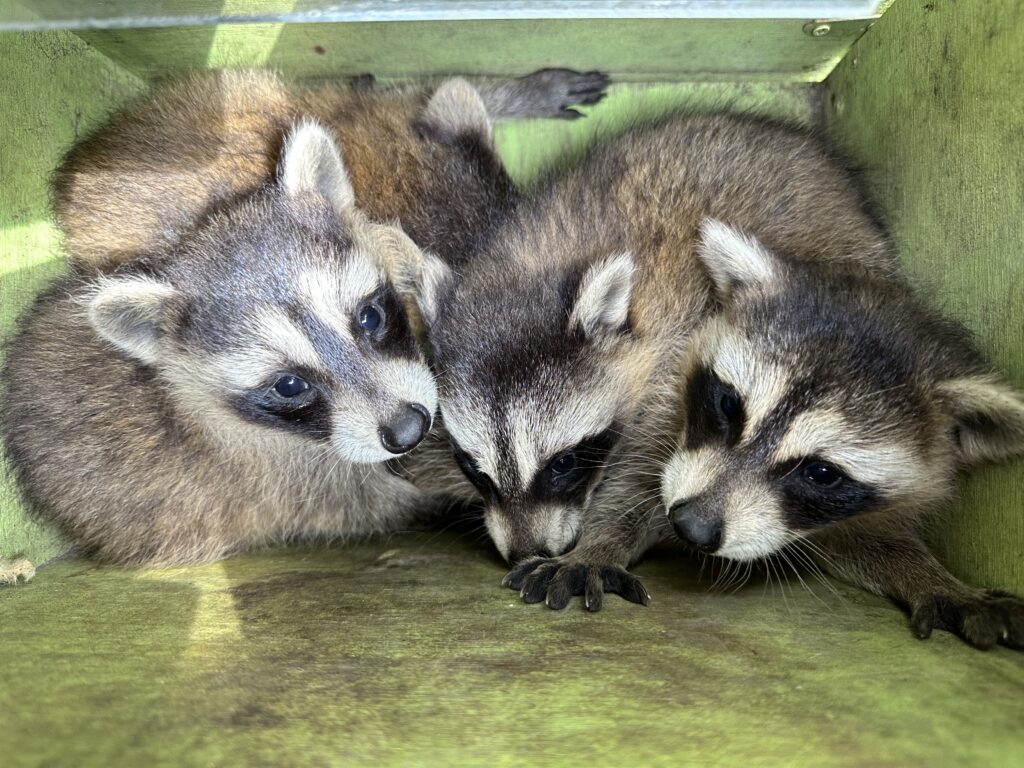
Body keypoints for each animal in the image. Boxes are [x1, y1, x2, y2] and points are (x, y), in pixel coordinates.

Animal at [3, 124, 444, 565]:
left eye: (369, 317)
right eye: (288, 385)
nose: (408, 430)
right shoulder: (288, 482)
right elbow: (370, 503)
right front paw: (433, 502)